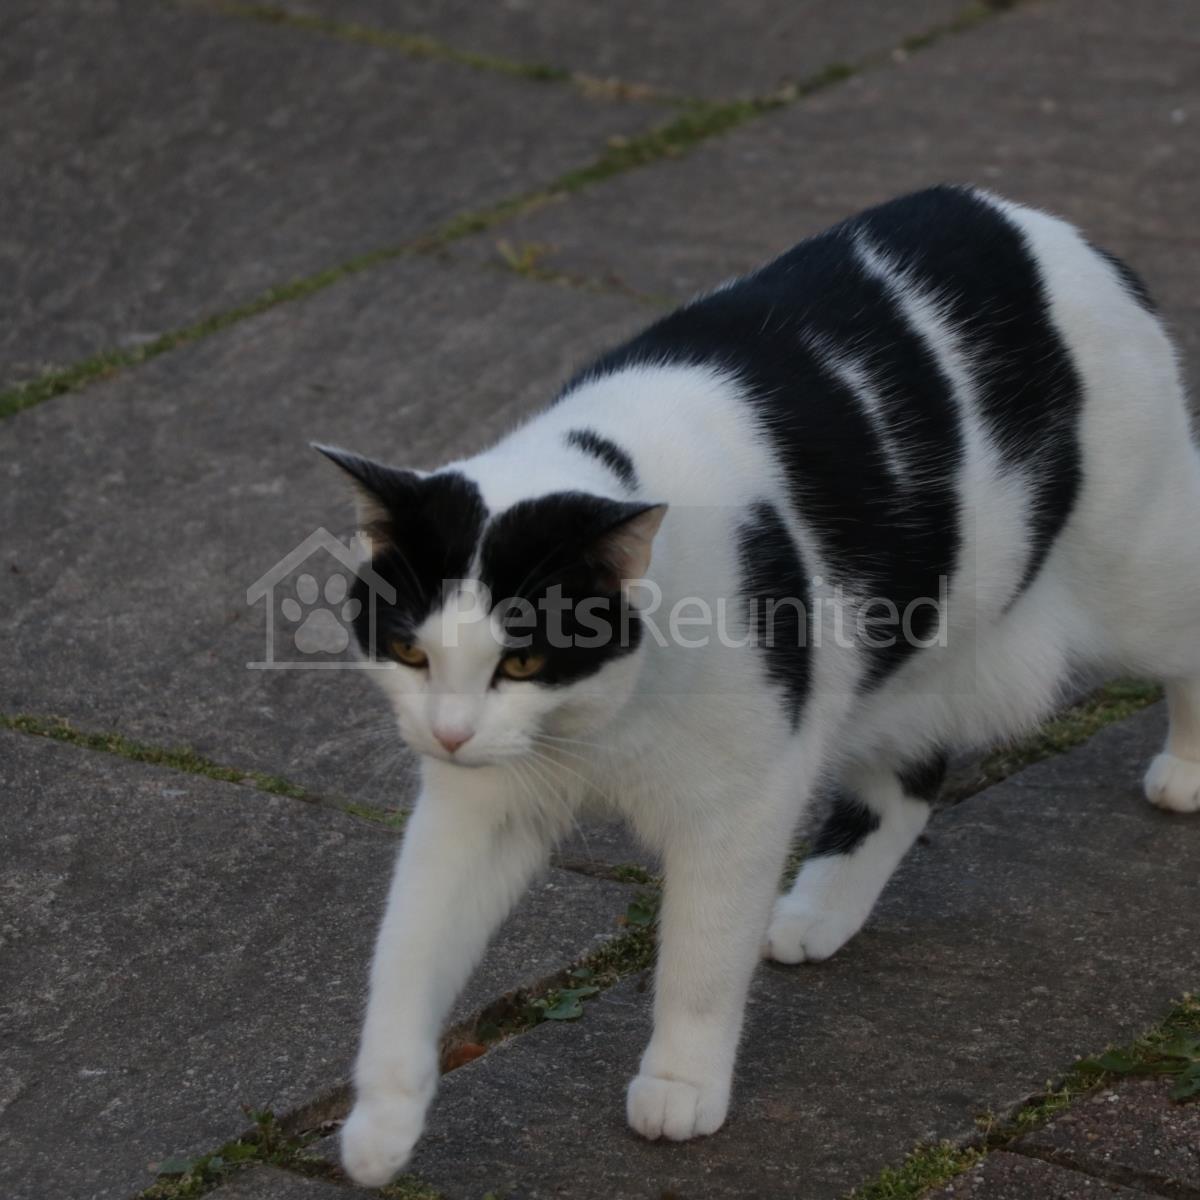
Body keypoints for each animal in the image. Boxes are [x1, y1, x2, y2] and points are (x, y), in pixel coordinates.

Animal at [317, 185, 1200, 1187]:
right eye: (411, 652)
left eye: (523, 662)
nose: (450, 734)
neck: (597, 724)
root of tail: (1055, 229)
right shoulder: (478, 807)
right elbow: (407, 952)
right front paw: (382, 1123)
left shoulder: (739, 802)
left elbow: (700, 958)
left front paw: (680, 1083)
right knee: (908, 778)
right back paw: (820, 909)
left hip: (1137, 574)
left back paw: (1185, 769)